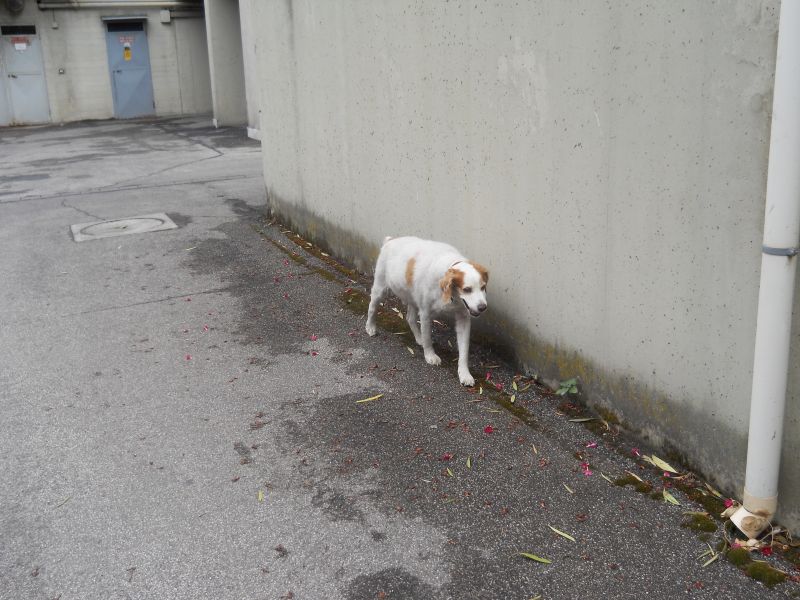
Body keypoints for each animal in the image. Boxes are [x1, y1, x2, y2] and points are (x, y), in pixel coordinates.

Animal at [368, 234, 488, 384]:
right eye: (467, 289)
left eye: (483, 287)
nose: (483, 307)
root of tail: (390, 240)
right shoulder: (425, 313)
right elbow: (427, 337)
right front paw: (430, 355)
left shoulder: (463, 317)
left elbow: (464, 349)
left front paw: (465, 373)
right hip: (380, 288)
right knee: (372, 308)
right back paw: (370, 327)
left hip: (412, 298)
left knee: (410, 318)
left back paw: (418, 338)